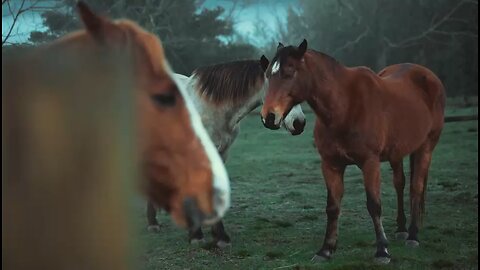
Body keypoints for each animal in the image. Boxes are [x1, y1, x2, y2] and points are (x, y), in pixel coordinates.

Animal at [145, 58, 308, 248]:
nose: (299, 123)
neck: (210, 109)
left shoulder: (221, 154)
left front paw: (220, 236)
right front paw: (196, 234)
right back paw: (153, 223)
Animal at [260, 39, 444, 262]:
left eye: (289, 72)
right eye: (268, 75)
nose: (269, 116)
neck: (344, 106)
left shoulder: (370, 163)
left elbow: (374, 205)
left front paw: (382, 250)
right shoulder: (330, 164)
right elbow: (332, 207)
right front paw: (326, 250)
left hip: (427, 147)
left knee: (416, 187)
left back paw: (413, 235)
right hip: (397, 153)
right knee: (400, 184)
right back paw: (401, 229)